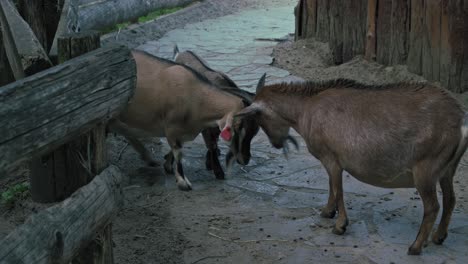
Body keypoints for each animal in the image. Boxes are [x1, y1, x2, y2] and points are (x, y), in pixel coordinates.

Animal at [173, 45, 262, 180]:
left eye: (254, 133)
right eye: (239, 129)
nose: (245, 160)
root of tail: (179, 53)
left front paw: (209, 163)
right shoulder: (205, 126)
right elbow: (211, 144)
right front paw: (218, 171)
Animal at [236, 79, 468, 255]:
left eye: (259, 118)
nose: (276, 144)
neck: (305, 110)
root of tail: (460, 123)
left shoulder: (332, 158)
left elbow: (337, 189)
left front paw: (340, 226)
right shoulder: (332, 161)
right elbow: (331, 187)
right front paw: (327, 212)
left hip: (425, 170)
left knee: (432, 206)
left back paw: (415, 247)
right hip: (447, 169)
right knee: (450, 199)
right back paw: (439, 237)